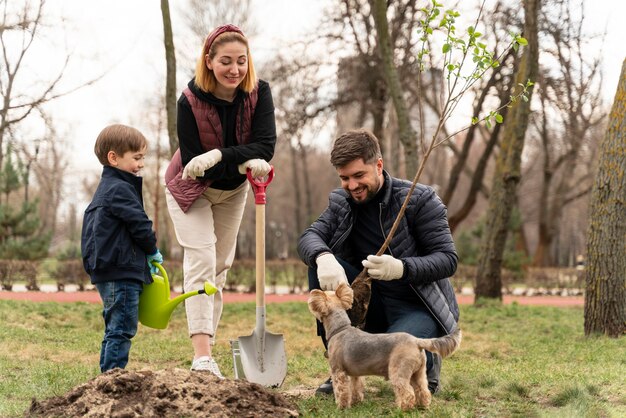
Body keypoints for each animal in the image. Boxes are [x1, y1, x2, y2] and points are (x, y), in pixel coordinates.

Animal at [308, 282, 458, 410]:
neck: (340, 328)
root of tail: (416, 341)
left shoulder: (338, 371)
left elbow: (342, 391)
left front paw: (341, 407)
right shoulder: (355, 374)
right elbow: (356, 388)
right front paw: (356, 402)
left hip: (398, 371)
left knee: (407, 393)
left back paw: (403, 409)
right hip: (418, 373)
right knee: (422, 390)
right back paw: (423, 406)